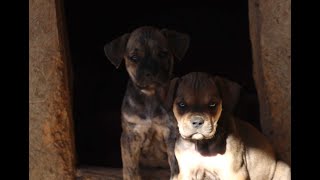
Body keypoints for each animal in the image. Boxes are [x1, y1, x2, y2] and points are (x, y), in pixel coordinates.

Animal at [104, 25, 190, 180]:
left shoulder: (172, 134)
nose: (150, 73)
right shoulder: (131, 135)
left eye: (162, 54)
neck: (151, 94)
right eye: (134, 58)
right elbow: (130, 166)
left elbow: (175, 163)